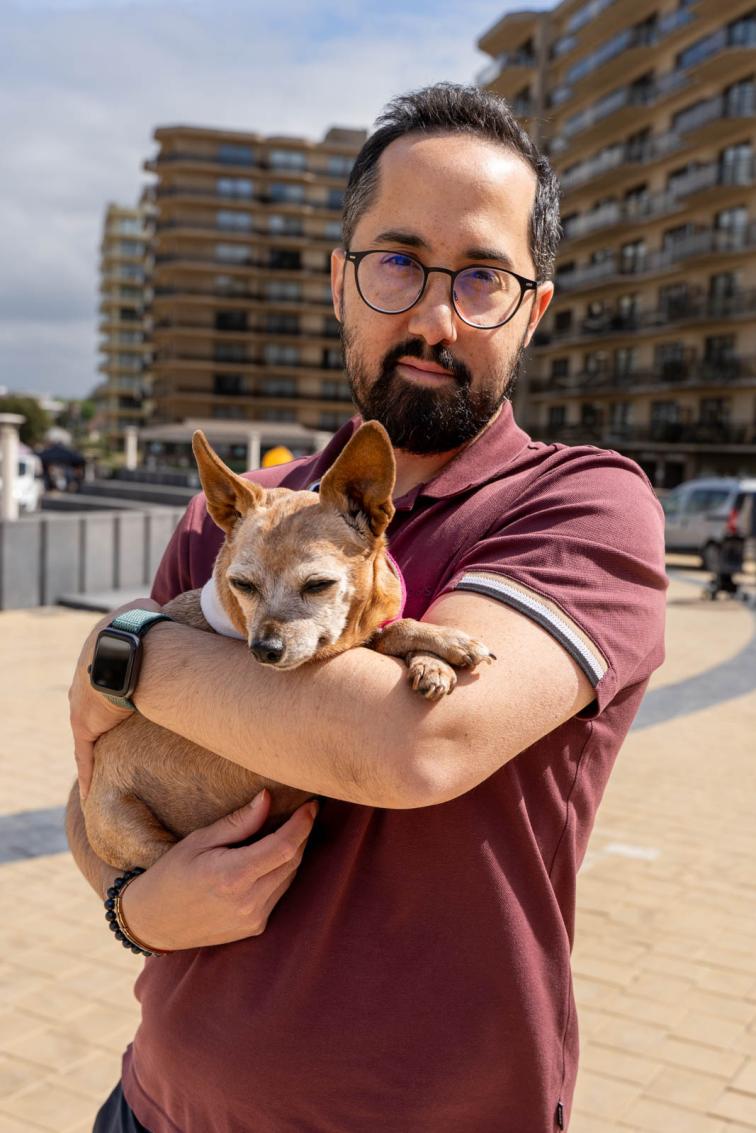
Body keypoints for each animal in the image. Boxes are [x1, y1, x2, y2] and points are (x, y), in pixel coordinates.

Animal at [83, 422, 493, 870]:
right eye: (242, 585)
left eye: (318, 585)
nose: (264, 648)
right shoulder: (337, 648)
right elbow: (390, 631)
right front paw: (442, 643)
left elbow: (390, 628)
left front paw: (433, 659)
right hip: (132, 829)